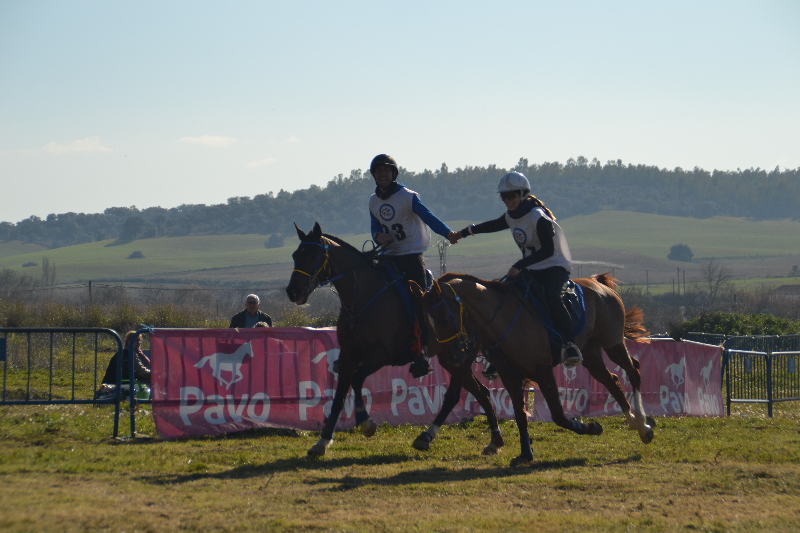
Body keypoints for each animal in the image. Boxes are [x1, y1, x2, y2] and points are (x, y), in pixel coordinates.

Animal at [284, 222, 504, 456]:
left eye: (314, 254)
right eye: (296, 255)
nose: (293, 291)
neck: (362, 297)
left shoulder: (382, 355)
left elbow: (356, 379)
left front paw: (366, 422)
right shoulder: (348, 355)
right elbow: (340, 394)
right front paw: (322, 441)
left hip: (458, 358)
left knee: (457, 395)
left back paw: (431, 436)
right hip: (452, 358)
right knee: (480, 393)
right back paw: (490, 440)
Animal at [422, 272, 652, 464]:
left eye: (444, 318)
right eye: (427, 321)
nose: (452, 356)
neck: (503, 319)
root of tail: (598, 283)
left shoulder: (543, 373)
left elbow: (558, 415)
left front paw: (591, 427)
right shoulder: (510, 376)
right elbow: (520, 415)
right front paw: (525, 453)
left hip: (613, 343)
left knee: (634, 370)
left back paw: (643, 424)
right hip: (591, 353)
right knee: (612, 380)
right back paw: (634, 422)